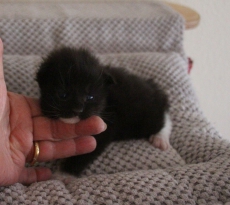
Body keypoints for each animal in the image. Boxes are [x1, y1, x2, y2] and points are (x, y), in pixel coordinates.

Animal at [36, 46, 172, 176]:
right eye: (62, 95)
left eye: (90, 97)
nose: (78, 109)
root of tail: (153, 89)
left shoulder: (105, 128)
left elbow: (83, 156)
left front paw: (63, 174)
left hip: (143, 117)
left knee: (164, 119)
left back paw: (160, 138)